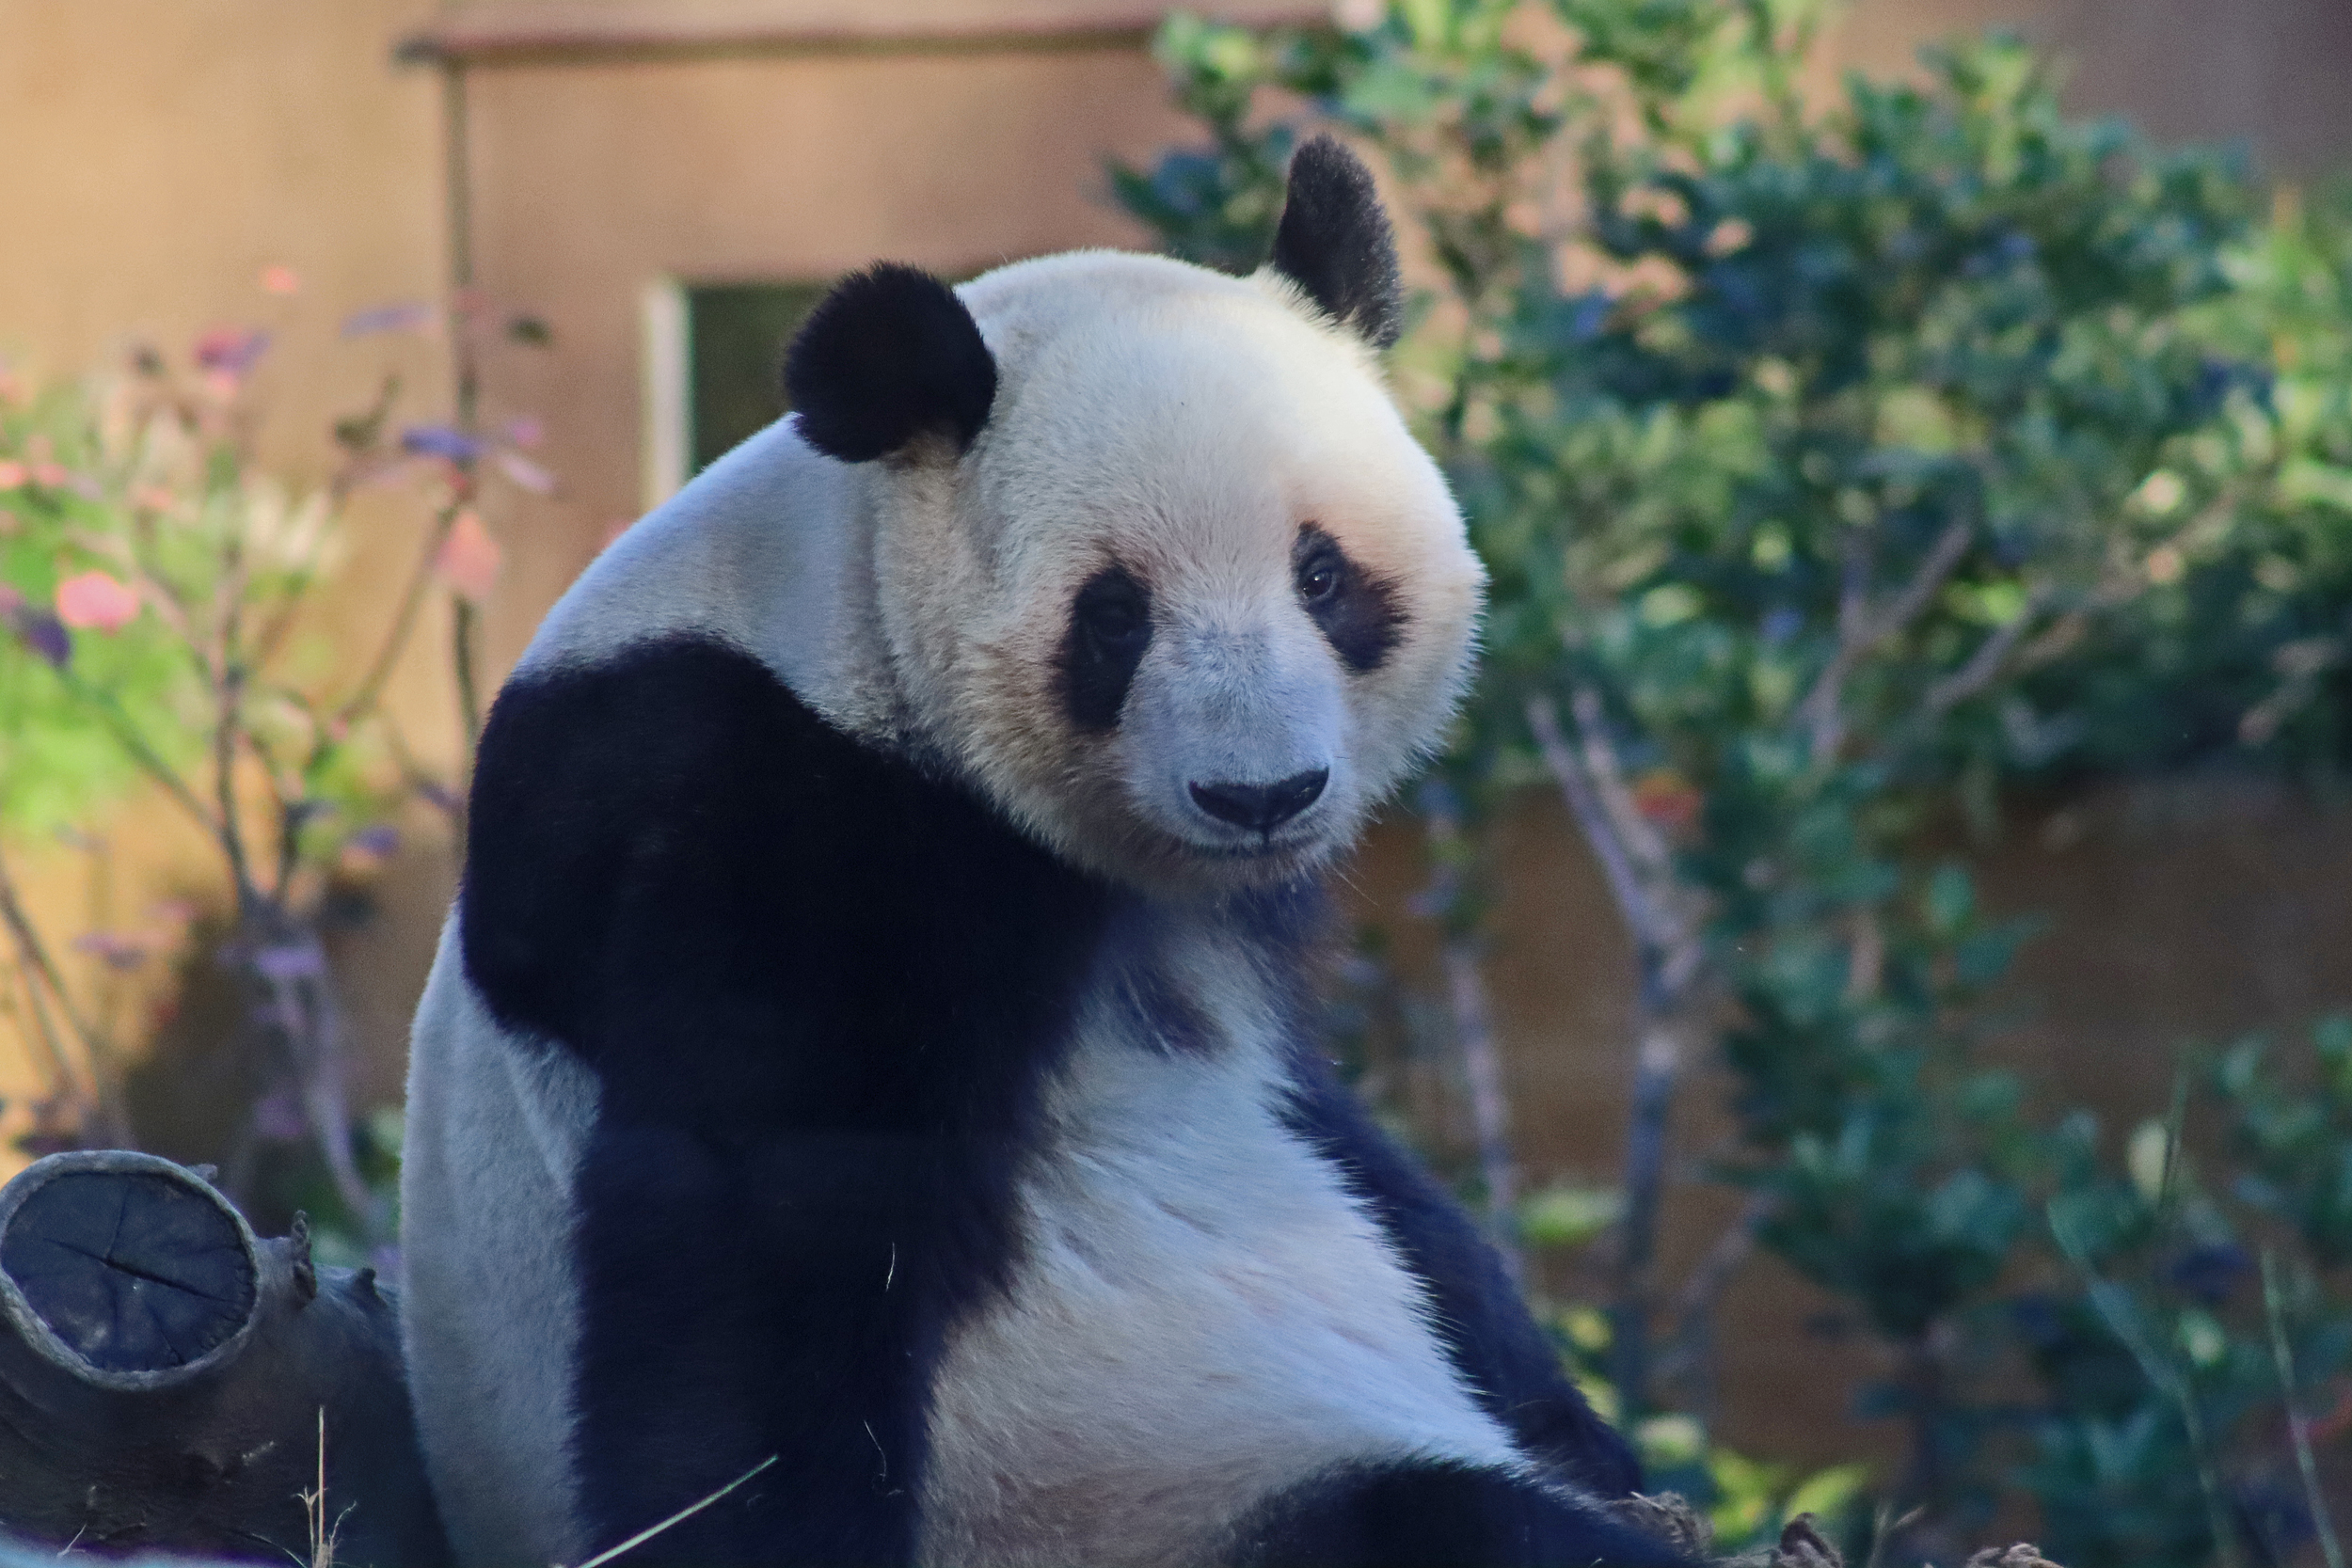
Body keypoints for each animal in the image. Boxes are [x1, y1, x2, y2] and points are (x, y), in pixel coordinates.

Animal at [398, 137, 1691, 1568]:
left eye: (1323, 576)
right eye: (1114, 615)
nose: (1261, 793)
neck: (839, 616)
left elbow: (1361, 1156)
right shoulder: (767, 809)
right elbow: (752, 1231)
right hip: (1150, 1485)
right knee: (1437, 1518)